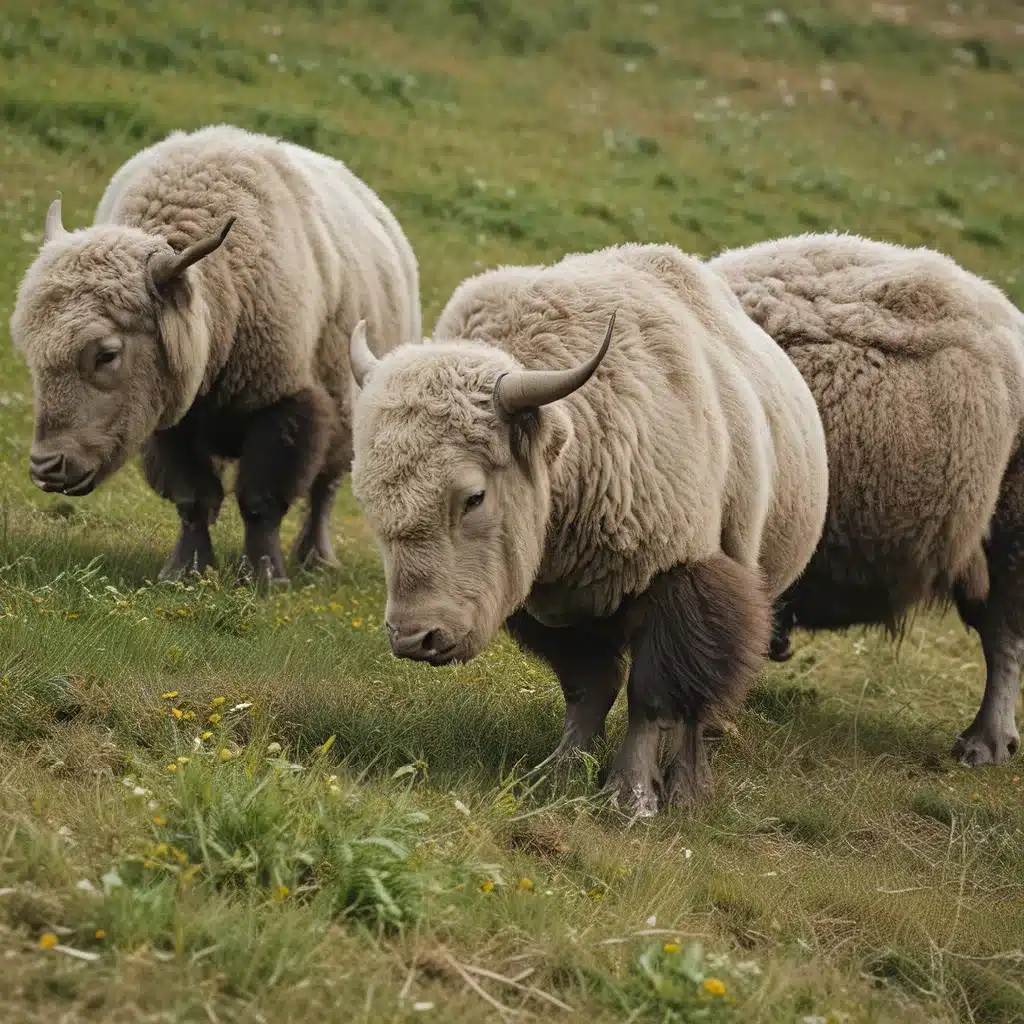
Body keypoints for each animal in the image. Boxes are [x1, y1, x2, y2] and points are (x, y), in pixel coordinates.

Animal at [9, 121, 417, 585]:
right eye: (31, 352)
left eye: (106, 354)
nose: (47, 467)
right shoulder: (171, 418)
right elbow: (194, 498)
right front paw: (186, 570)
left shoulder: (285, 405)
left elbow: (261, 501)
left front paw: (265, 576)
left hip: (346, 418)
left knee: (323, 491)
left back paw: (316, 558)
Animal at [348, 241, 827, 815]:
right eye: (369, 498)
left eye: (473, 497)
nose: (414, 637)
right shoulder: (554, 606)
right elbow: (588, 689)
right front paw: (561, 772)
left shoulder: (679, 578)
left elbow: (653, 695)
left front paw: (632, 795)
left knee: (699, 703)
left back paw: (688, 788)